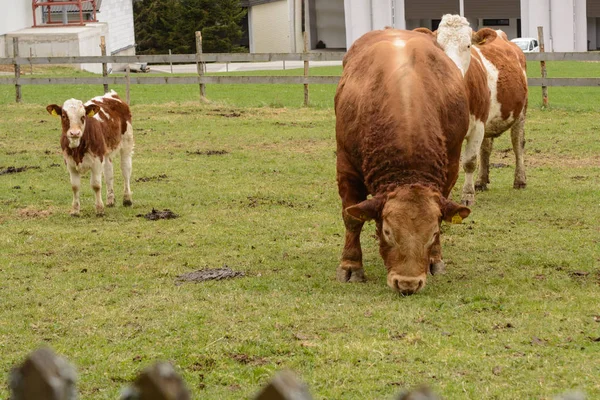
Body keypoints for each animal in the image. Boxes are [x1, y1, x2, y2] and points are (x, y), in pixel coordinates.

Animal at [336, 28, 472, 296]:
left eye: (434, 232)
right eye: (387, 232)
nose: (408, 283)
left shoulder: (450, 167)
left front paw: (435, 259)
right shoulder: (346, 169)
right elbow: (352, 219)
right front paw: (351, 265)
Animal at [414, 14, 528, 205]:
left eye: (468, 45)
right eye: (438, 46)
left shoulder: (478, 126)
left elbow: (469, 162)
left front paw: (467, 195)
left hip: (520, 114)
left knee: (517, 144)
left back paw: (520, 180)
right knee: (486, 148)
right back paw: (481, 181)